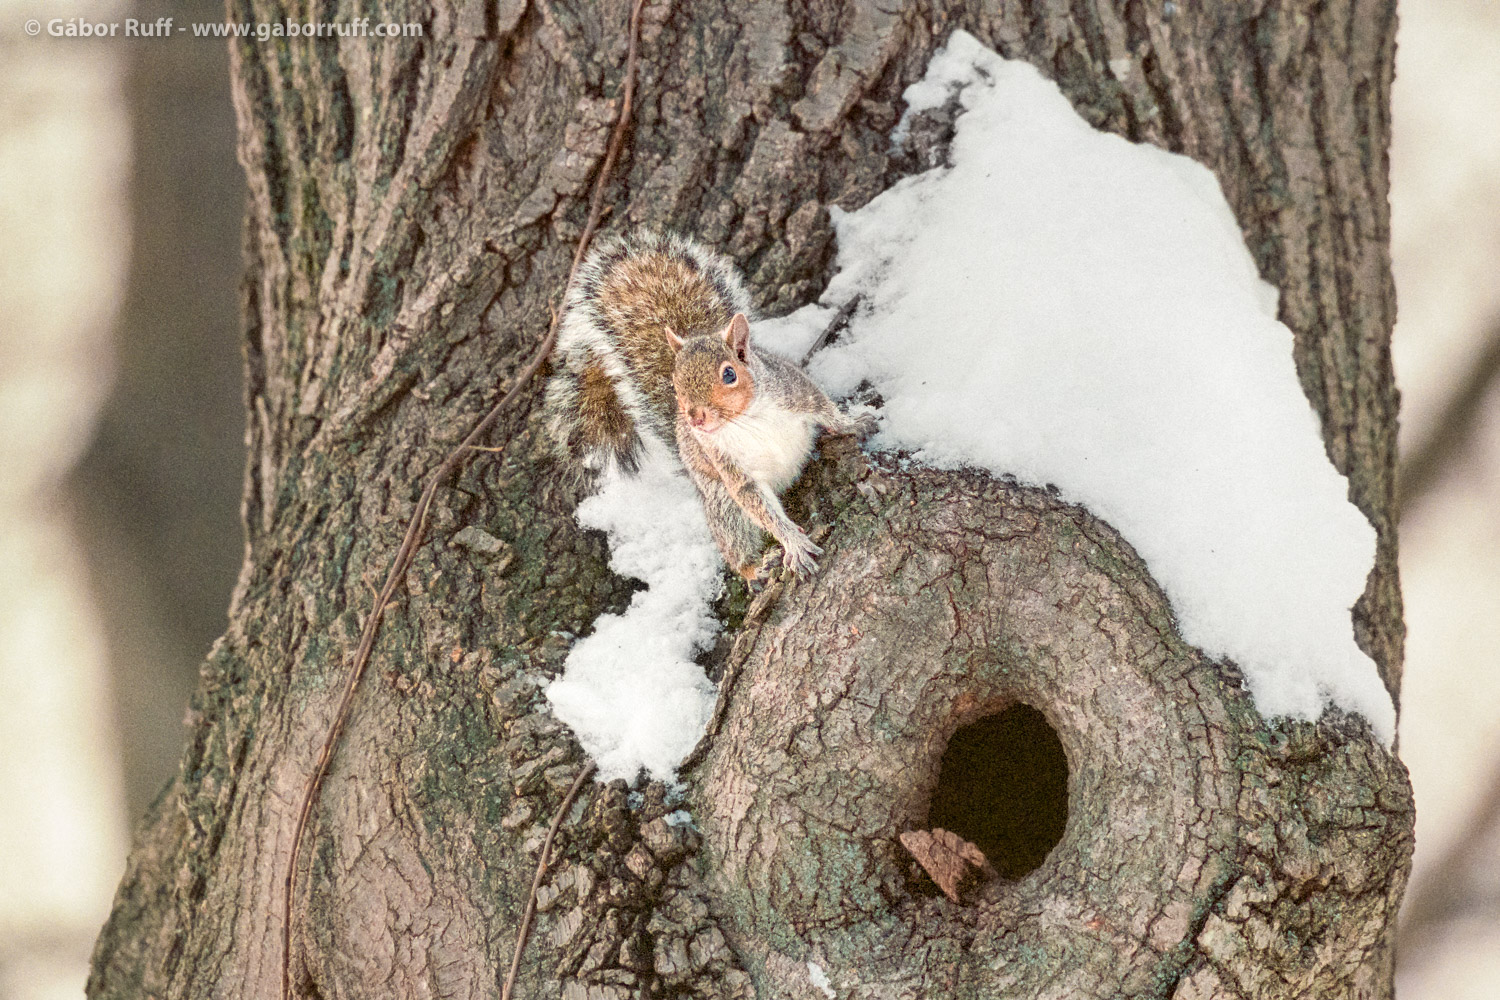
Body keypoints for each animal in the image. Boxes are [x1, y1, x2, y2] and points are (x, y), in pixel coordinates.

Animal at [543, 233, 876, 578]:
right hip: (721, 501)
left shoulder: (794, 389)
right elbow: (760, 507)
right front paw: (793, 543)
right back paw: (754, 568)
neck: (747, 418)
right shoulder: (729, 466)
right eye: (674, 385)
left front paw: (854, 423)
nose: (696, 419)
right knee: (735, 540)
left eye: (729, 374)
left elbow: (825, 407)